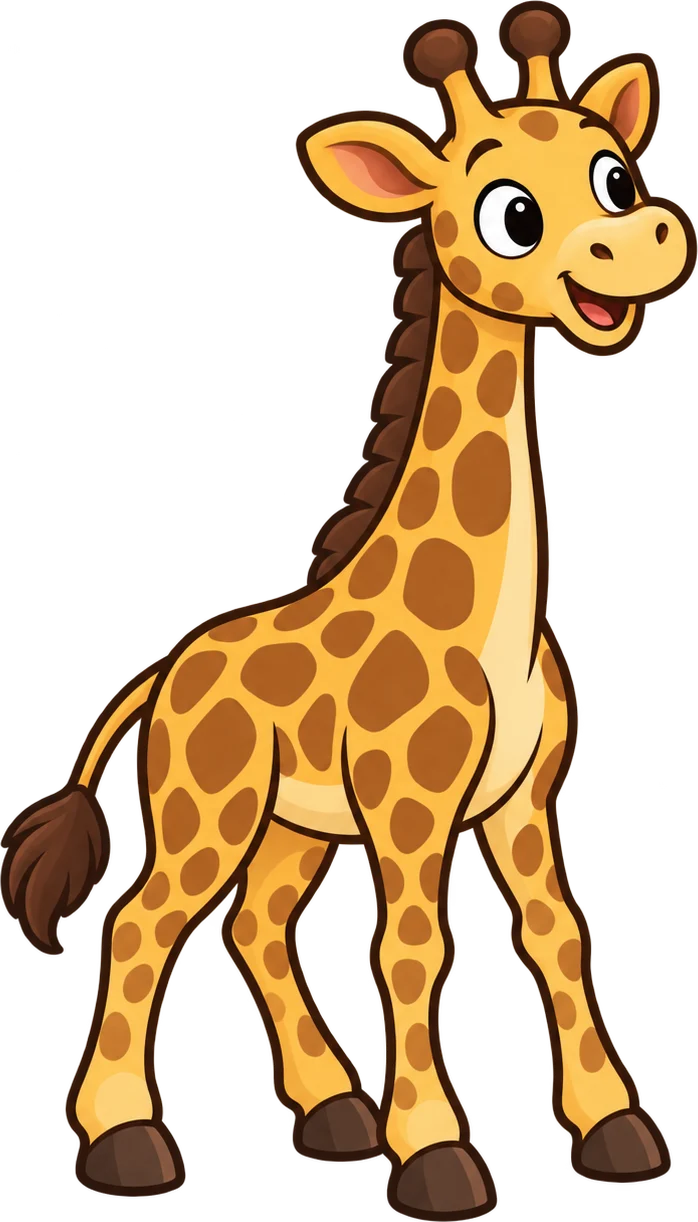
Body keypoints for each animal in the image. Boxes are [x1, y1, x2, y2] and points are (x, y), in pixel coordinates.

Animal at [2, 5, 695, 1217]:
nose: (650, 236)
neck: (485, 621)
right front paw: (436, 1156)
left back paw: (331, 1114)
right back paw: (127, 1140)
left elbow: (555, 936)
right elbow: (414, 947)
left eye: (613, 175)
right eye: (510, 213)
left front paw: (614, 1131)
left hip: (291, 824)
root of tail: (165, 671)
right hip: (211, 806)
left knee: (254, 925)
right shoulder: (410, 804)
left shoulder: (523, 801)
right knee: (145, 921)